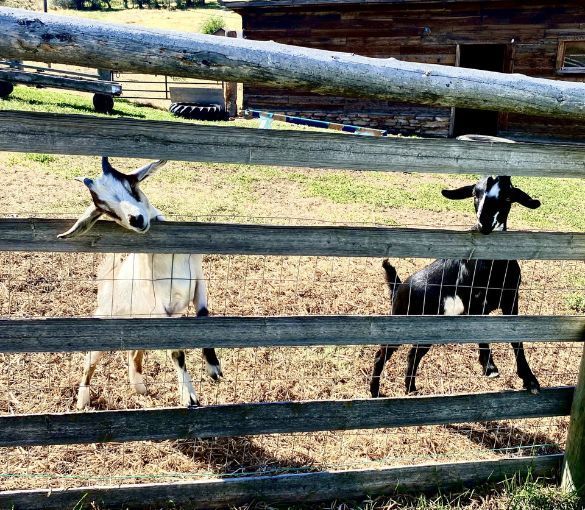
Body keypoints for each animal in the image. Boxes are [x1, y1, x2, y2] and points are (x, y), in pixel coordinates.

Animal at [57, 157, 221, 408]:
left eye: (131, 186)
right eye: (106, 209)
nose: (136, 219)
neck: (166, 259)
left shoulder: (198, 281)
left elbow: (204, 318)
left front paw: (214, 368)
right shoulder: (160, 309)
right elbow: (177, 352)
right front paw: (190, 397)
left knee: (133, 352)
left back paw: (139, 387)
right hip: (108, 319)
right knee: (90, 361)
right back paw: (83, 400)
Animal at [372, 159, 540, 398]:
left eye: (508, 197)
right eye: (475, 194)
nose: (483, 224)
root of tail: (399, 287)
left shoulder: (510, 300)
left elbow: (516, 339)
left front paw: (530, 379)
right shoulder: (473, 302)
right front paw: (489, 367)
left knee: (414, 354)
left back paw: (411, 390)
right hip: (402, 318)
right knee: (382, 355)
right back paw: (375, 393)